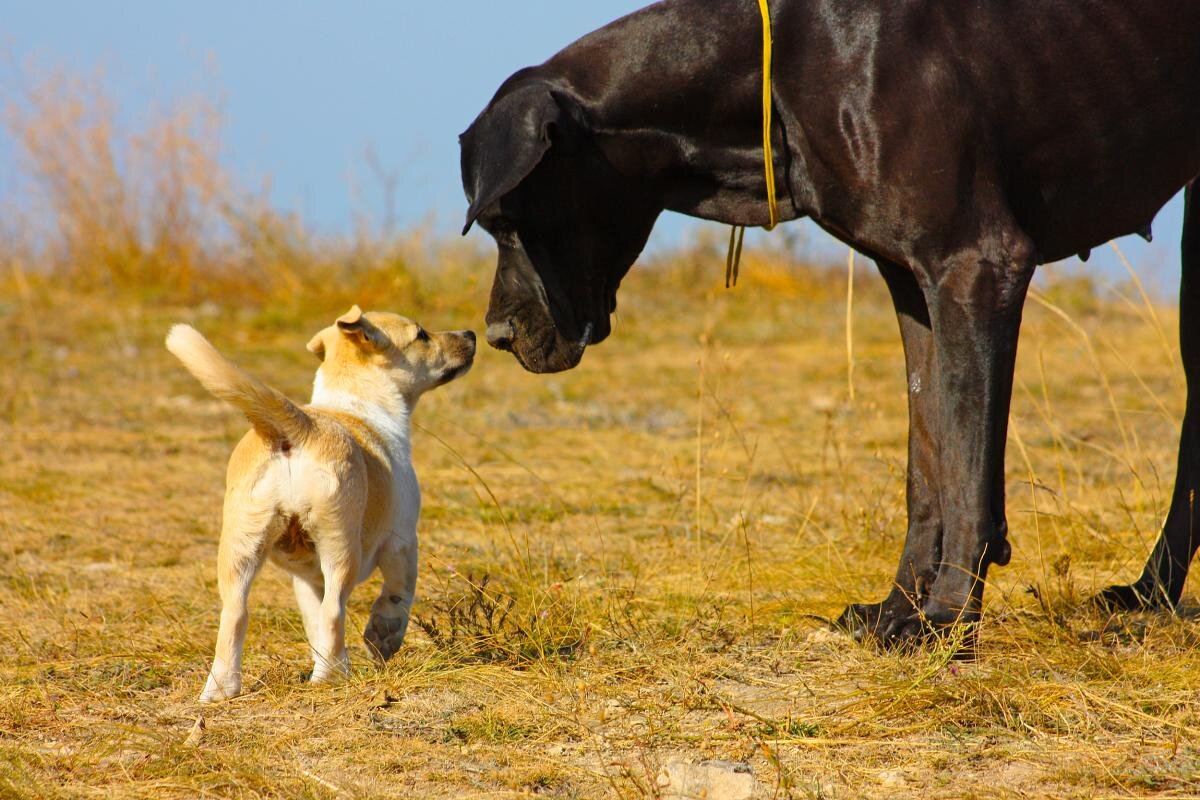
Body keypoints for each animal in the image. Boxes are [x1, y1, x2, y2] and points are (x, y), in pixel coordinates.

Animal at [166, 304, 475, 700]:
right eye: (421, 334)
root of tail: (299, 429)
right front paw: (382, 638)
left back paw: (223, 689)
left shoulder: (306, 577)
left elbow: (314, 625)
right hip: (340, 547)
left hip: (241, 548)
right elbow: (398, 594)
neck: (355, 404)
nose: (471, 334)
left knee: (236, 615)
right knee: (334, 610)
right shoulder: (403, 542)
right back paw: (330, 679)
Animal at [458, 0, 1200, 647]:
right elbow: (928, 463)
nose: (496, 336)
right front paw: (899, 608)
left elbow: (967, 469)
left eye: (506, 219)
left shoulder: (976, 269)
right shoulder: (912, 285)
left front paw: (948, 617)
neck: (778, 58)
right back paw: (1150, 592)